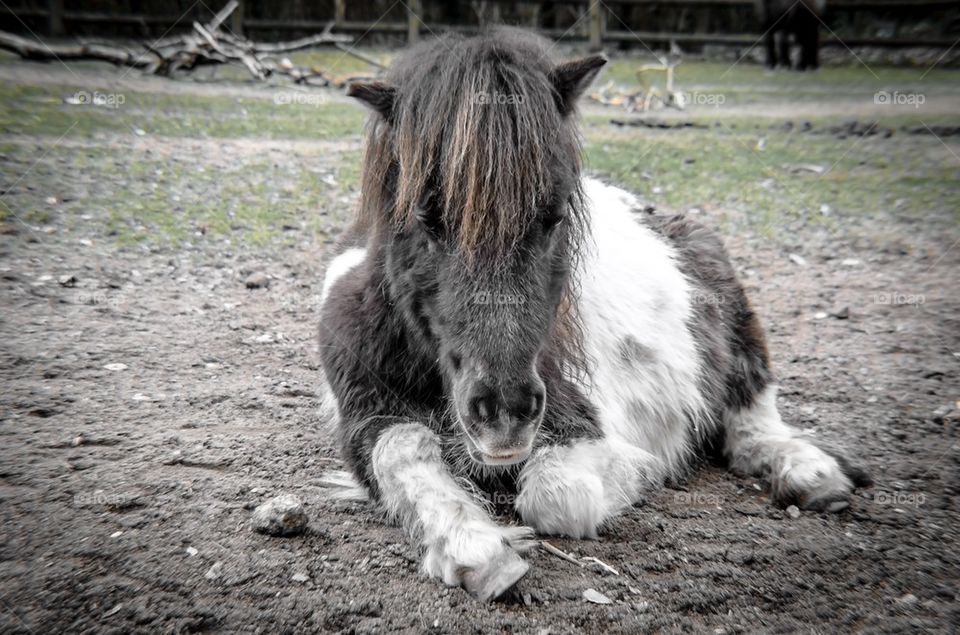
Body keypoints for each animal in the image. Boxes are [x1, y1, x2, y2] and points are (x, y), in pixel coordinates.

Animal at [318, 28, 869, 601]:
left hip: (740, 335)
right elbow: (402, 452)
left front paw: (637, 474)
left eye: (554, 216)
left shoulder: (576, 422)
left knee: (752, 422)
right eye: (426, 219)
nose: (504, 414)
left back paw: (813, 476)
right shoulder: (364, 417)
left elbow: (555, 496)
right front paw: (476, 550)